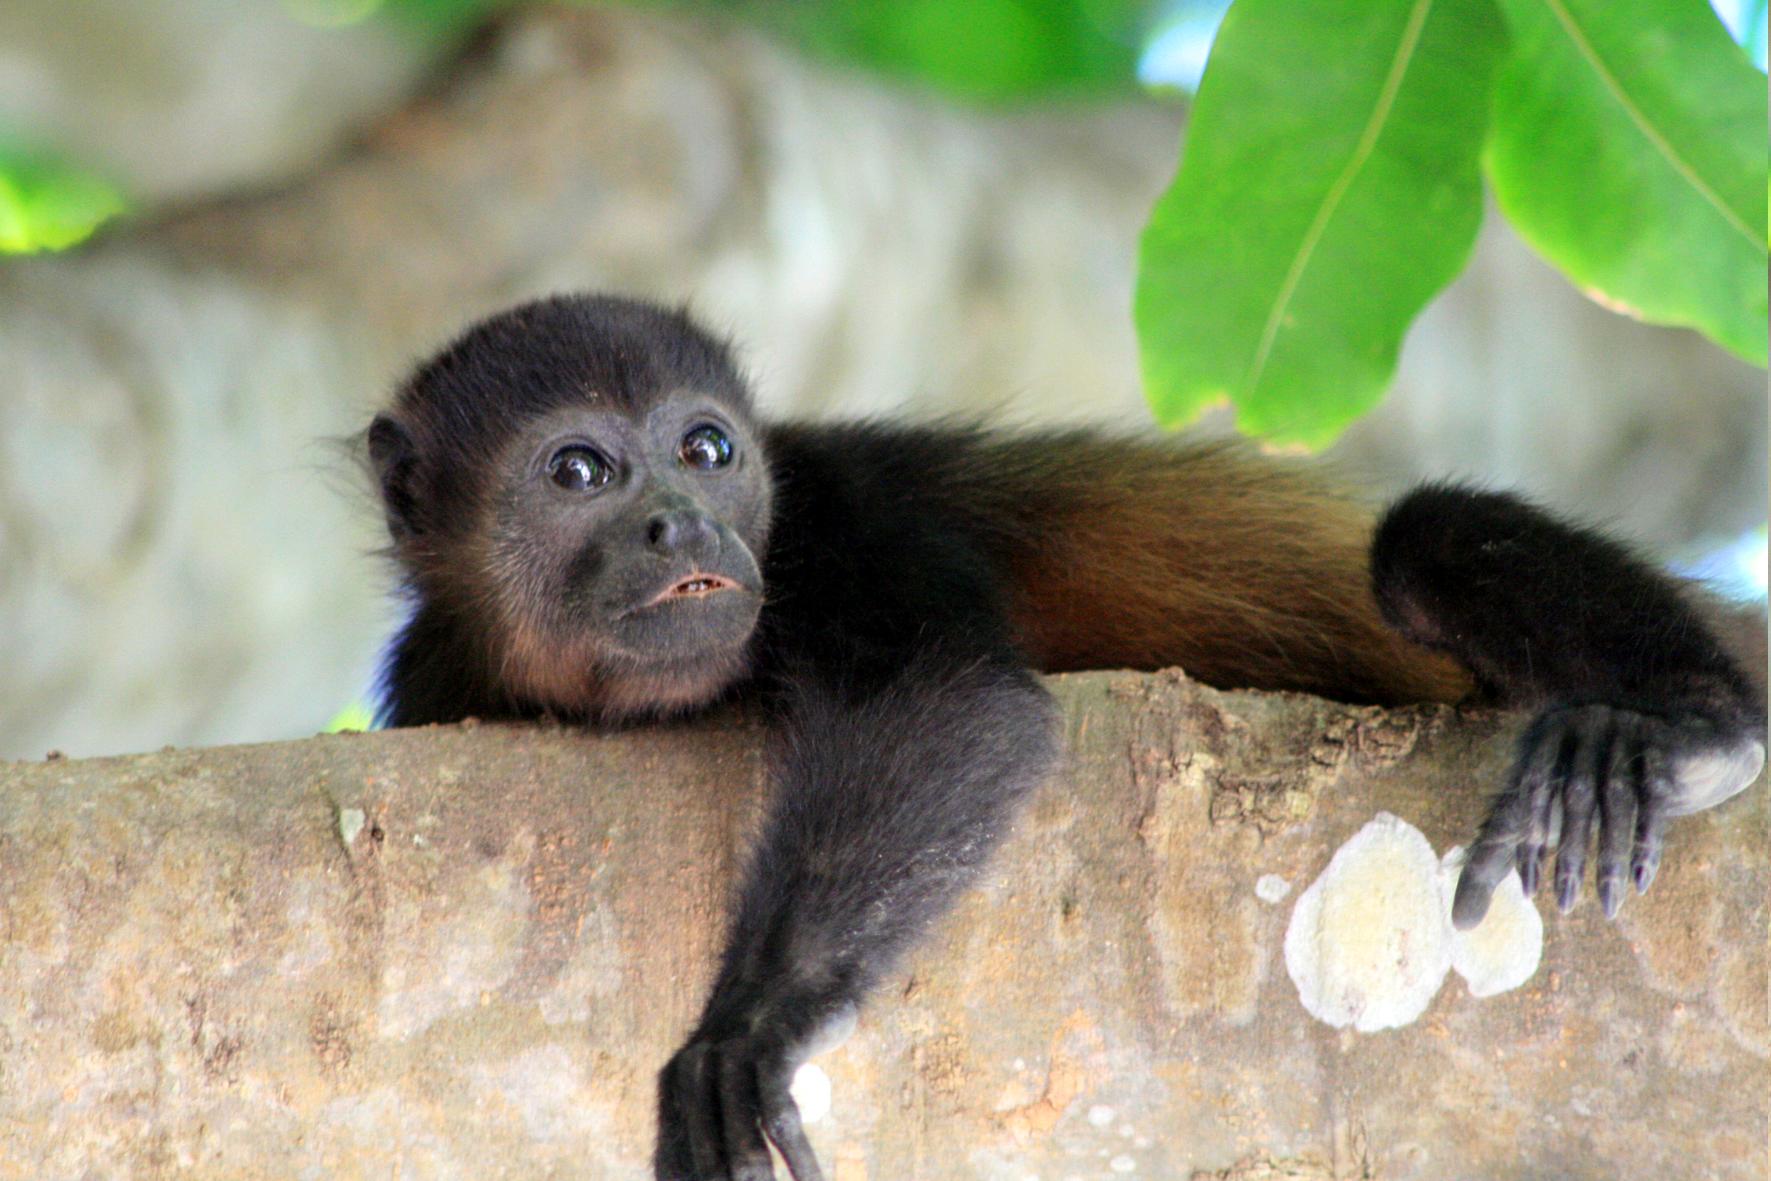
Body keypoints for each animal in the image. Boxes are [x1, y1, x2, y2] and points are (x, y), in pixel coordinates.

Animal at [364, 293, 1767, 1181]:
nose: (684, 525)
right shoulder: (428, 676)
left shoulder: (826, 511)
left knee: (1416, 540)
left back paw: (1696, 726)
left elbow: (945, 693)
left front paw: (751, 1024)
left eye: (706, 448)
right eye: (579, 471)